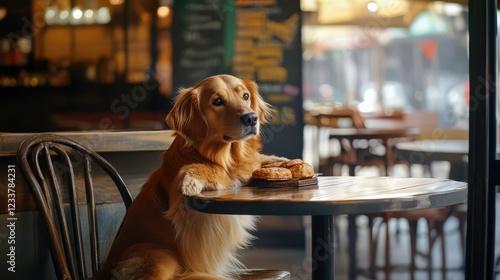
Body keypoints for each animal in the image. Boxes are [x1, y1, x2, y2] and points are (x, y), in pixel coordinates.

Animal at [95, 74, 288, 280]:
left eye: (245, 96)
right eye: (217, 101)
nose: (251, 118)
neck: (222, 155)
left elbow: (255, 163)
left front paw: (284, 162)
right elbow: (219, 171)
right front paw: (192, 177)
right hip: (160, 257)